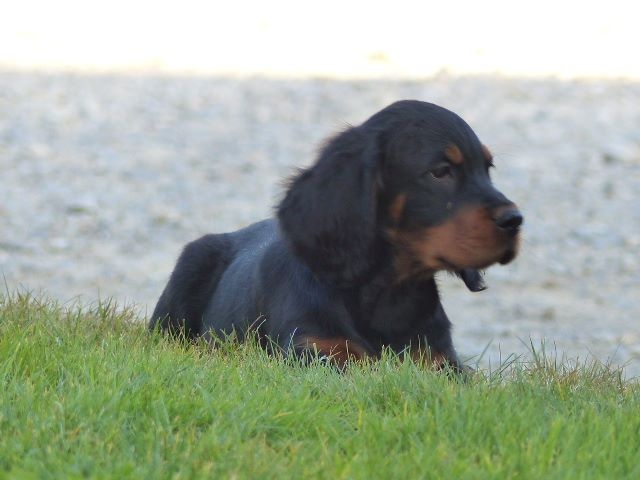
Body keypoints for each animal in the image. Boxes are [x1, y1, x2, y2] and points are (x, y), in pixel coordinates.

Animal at [150, 100, 522, 370]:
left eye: (487, 169)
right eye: (440, 172)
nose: (515, 220)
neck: (387, 292)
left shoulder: (439, 360)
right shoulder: (312, 351)